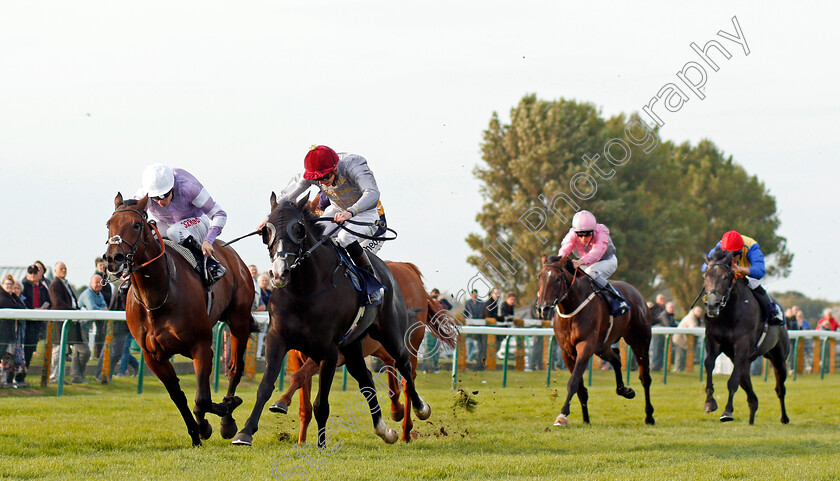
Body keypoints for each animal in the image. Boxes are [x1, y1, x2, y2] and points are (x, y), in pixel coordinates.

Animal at [103, 192, 253, 446]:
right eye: (108, 224)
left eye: (136, 225)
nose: (114, 258)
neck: (157, 296)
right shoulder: (152, 356)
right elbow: (179, 396)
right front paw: (197, 433)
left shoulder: (201, 345)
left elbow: (202, 399)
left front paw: (218, 415)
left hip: (239, 320)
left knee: (234, 368)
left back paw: (227, 422)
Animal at [233, 192, 434, 446]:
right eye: (266, 230)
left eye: (298, 228)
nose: (279, 273)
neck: (305, 292)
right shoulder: (278, 339)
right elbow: (267, 385)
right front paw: (245, 431)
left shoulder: (327, 352)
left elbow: (320, 403)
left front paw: (320, 444)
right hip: (352, 346)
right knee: (366, 379)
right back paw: (384, 430)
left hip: (390, 333)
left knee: (404, 366)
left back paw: (419, 409)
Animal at [272, 262, 456, 442]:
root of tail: (408, 267)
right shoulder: (300, 357)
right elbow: (304, 402)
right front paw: (301, 440)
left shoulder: (329, 355)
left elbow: (299, 377)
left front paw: (281, 402)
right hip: (381, 347)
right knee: (391, 367)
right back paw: (396, 410)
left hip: (410, 343)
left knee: (406, 381)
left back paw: (406, 430)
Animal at [536, 255, 652, 424]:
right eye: (539, 277)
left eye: (557, 278)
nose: (542, 309)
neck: (572, 306)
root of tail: (637, 294)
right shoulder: (567, 352)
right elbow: (580, 388)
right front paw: (586, 419)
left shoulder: (586, 346)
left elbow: (573, 382)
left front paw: (562, 415)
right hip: (602, 347)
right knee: (616, 358)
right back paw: (625, 391)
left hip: (640, 341)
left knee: (645, 378)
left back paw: (649, 416)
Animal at [700, 249, 792, 422]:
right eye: (706, 276)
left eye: (725, 276)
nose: (712, 305)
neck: (728, 313)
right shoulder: (713, 340)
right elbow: (708, 364)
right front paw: (710, 402)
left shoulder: (742, 346)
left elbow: (732, 381)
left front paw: (727, 411)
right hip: (746, 361)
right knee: (750, 392)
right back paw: (751, 417)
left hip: (778, 357)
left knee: (780, 388)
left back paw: (784, 418)